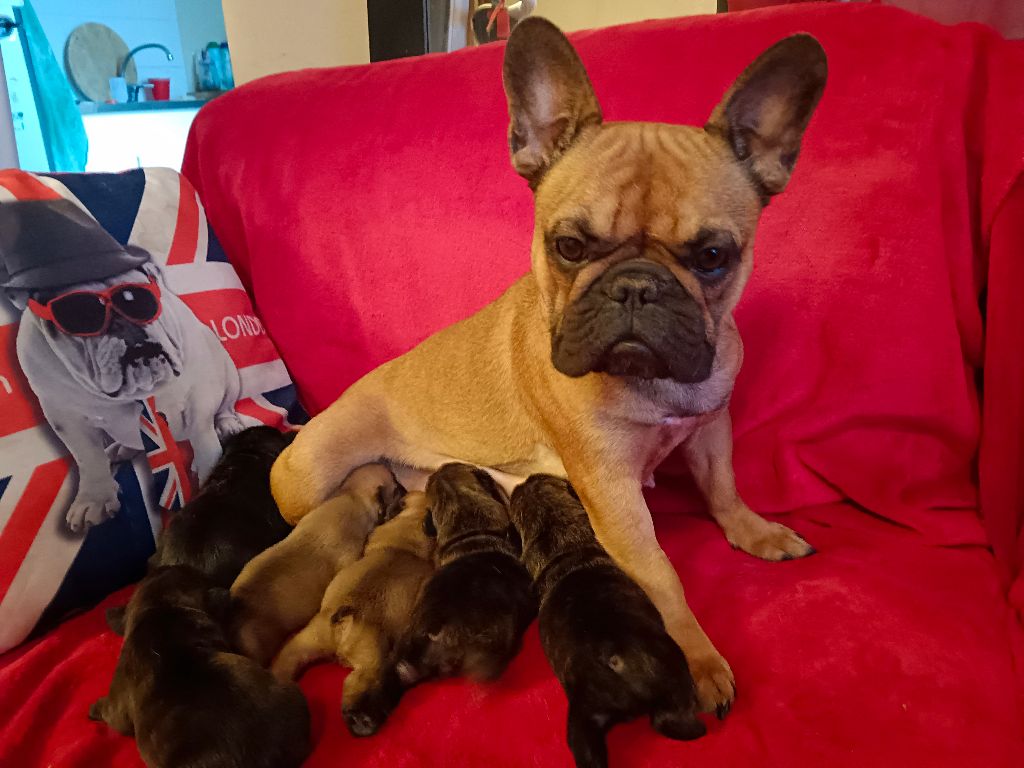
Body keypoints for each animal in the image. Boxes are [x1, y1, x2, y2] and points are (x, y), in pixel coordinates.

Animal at [270, 493, 434, 733]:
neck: (410, 524)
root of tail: (344, 620)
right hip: (373, 660)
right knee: (361, 683)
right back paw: (362, 720)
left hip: (304, 642)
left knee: (287, 660)